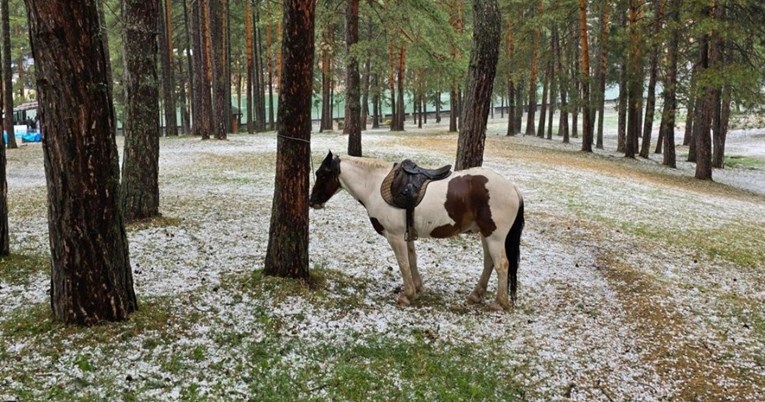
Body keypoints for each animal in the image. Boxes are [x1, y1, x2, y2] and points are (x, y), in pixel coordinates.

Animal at [308, 151, 524, 310]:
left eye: (323, 175)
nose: (312, 201)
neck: (374, 185)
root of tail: (512, 188)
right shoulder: (407, 235)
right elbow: (412, 260)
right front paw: (418, 289)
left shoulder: (395, 236)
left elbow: (403, 263)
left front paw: (407, 296)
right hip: (485, 234)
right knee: (489, 263)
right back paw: (476, 295)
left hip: (495, 237)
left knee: (501, 264)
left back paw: (499, 303)